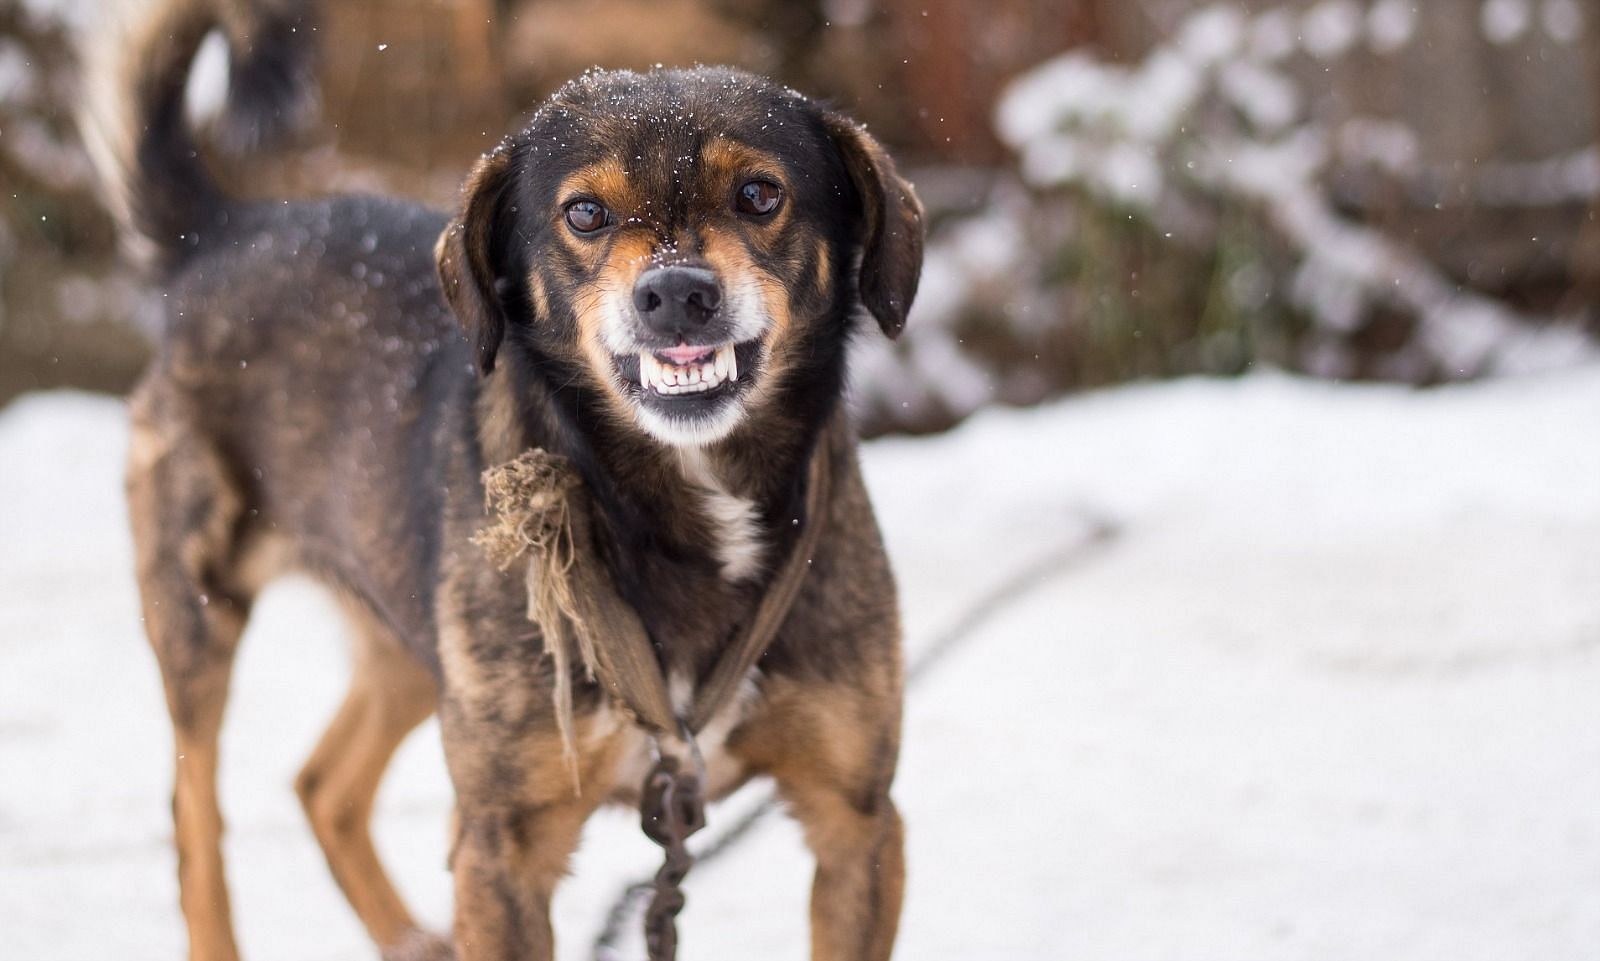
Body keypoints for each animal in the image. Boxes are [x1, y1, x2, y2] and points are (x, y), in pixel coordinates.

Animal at [90, 1, 928, 959]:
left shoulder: (857, 818)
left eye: (759, 194)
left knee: (323, 783)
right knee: (195, 817)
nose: (677, 294)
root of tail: (226, 233)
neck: (675, 494)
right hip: (198, 611)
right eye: (585, 212)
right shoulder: (504, 843)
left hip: (414, 641)